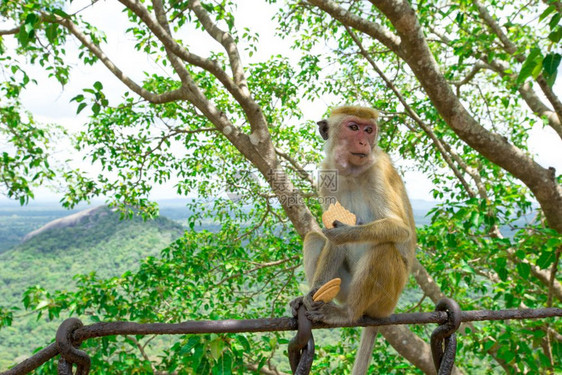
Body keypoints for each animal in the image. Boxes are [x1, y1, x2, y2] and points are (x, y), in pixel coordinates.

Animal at [290, 106, 414, 375]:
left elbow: (400, 229)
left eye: (369, 130)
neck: (351, 172)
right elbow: (328, 242)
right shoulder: (327, 173)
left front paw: (344, 232)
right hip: (343, 288)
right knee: (313, 238)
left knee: (384, 249)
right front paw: (309, 295)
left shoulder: (378, 172)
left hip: (386, 299)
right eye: (353, 127)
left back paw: (347, 314)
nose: (363, 142)